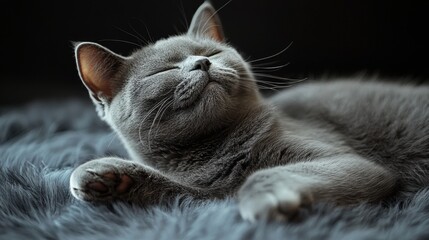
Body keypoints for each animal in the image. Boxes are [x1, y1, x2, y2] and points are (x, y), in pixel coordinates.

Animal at [70, 1, 428, 221]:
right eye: (162, 72)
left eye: (213, 52)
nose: (203, 62)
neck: (215, 152)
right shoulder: (208, 194)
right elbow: (182, 192)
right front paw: (106, 176)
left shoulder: (350, 161)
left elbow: (263, 174)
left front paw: (265, 199)